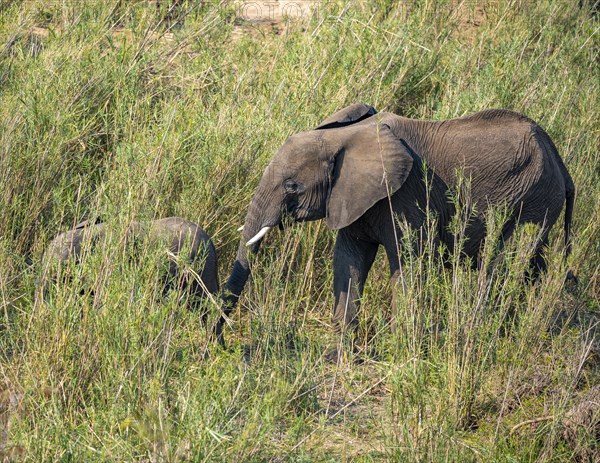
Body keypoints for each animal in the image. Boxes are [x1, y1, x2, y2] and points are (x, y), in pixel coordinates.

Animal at [217, 104, 576, 344]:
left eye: (292, 186)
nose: (218, 343)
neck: (343, 137)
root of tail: (559, 158)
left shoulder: (405, 194)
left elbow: (408, 261)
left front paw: (402, 347)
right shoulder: (352, 195)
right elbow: (348, 259)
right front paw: (342, 351)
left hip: (530, 198)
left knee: (503, 264)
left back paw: (482, 329)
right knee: (530, 266)